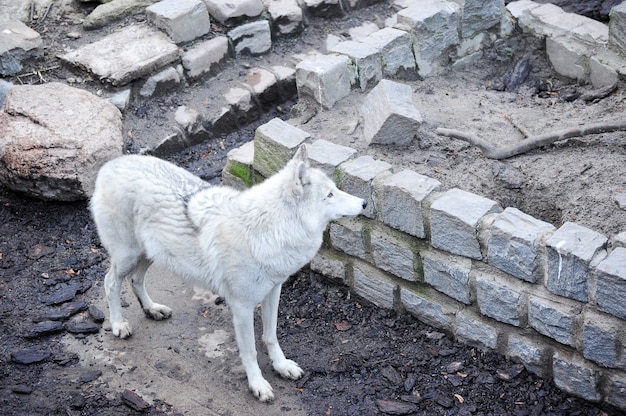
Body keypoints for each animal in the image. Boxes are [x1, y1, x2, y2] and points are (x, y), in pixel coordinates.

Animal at [90, 145, 368, 402]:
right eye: (330, 194)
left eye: (336, 188)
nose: (364, 203)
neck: (269, 230)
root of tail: (110, 164)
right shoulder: (242, 307)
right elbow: (250, 351)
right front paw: (258, 385)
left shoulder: (273, 291)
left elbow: (271, 336)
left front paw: (282, 366)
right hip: (128, 256)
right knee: (110, 282)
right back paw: (118, 324)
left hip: (150, 254)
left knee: (136, 281)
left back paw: (152, 309)